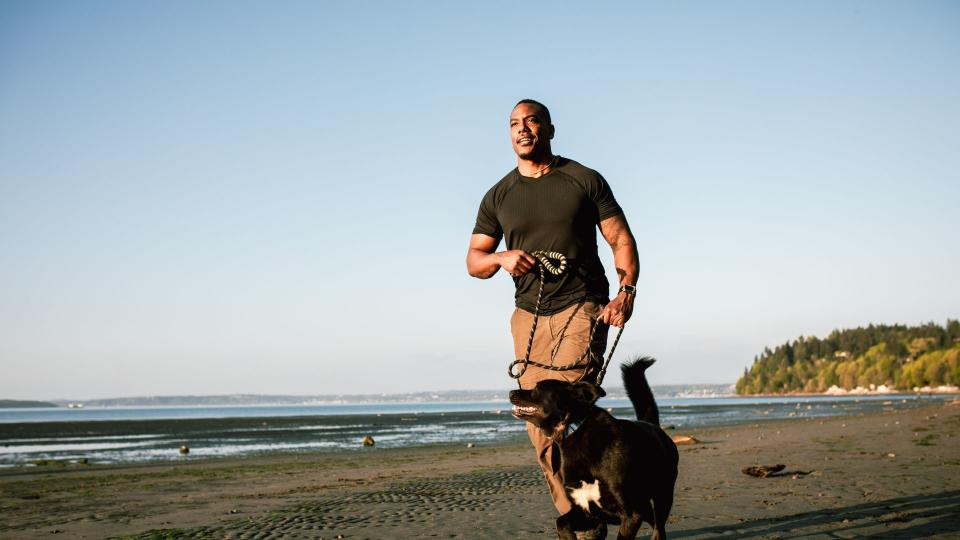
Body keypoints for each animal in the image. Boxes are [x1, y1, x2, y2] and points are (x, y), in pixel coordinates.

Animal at [506, 356, 680, 536]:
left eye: (538, 388)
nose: (511, 393)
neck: (573, 428)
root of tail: (652, 425)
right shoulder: (585, 512)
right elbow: (561, 522)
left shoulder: (631, 514)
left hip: (663, 495)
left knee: (658, 527)